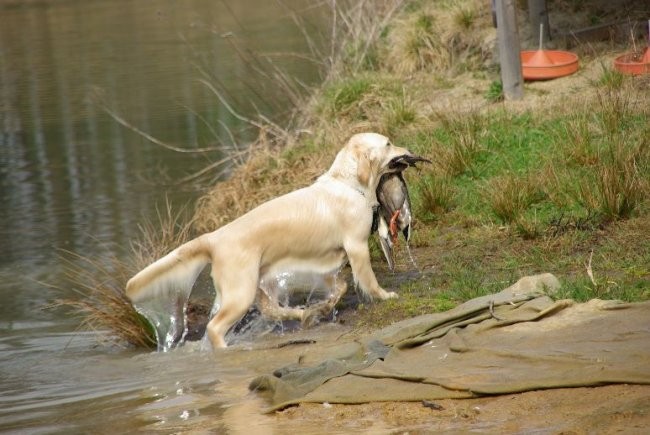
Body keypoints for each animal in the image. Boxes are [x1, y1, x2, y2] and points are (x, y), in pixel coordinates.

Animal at [126, 133, 420, 350]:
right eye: (388, 144)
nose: (410, 150)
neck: (349, 185)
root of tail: (214, 237)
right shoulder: (357, 247)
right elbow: (367, 280)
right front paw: (385, 295)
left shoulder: (331, 261)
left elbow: (340, 287)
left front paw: (324, 306)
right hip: (240, 292)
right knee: (214, 327)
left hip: (255, 282)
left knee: (270, 310)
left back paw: (302, 315)